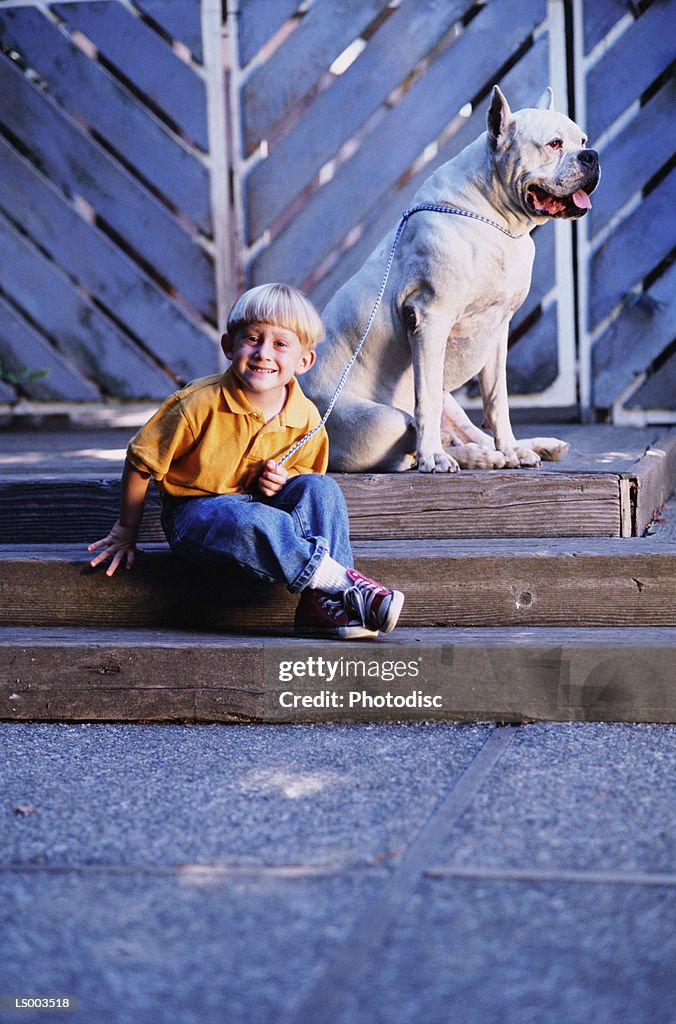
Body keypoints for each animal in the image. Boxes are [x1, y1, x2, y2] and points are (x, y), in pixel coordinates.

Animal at [303, 88, 598, 471]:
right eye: (554, 144)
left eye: (582, 141)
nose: (591, 156)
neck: (494, 217)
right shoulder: (430, 320)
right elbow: (425, 401)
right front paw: (434, 457)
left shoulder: (497, 331)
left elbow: (497, 400)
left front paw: (509, 447)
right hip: (381, 422)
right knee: (410, 443)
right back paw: (459, 455)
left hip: (450, 403)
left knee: (464, 431)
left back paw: (517, 449)